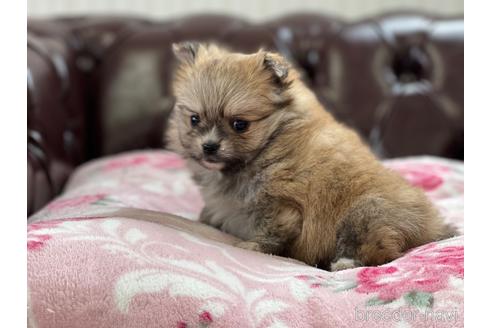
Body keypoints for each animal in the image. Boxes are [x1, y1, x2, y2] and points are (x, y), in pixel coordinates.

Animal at [166, 42, 458, 270]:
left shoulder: (281, 205)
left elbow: (272, 232)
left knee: (380, 252)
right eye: (194, 119)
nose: (209, 146)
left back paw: (345, 263)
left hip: (366, 211)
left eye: (240, 124)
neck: (272, 140)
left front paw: (252, 246)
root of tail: (432, 228)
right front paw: (205, 219)